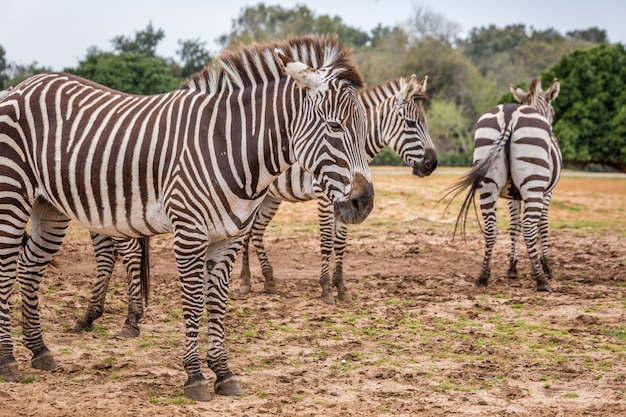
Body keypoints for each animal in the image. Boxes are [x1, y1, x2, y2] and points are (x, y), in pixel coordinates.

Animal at [0, 35, 370, 400]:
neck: (229, 146)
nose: (364, 202)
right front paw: (195, 377)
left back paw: (39, 350)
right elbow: (194, 302)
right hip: (12, 197)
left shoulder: (229, 237)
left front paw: (223, 373)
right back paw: (8, 361)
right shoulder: (189, 232)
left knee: (29, 267)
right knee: (7, 270)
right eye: (334, 127)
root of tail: (22, 86)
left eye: (364, 127)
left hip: (50, 207)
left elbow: (218, 304)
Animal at [444, 78, 560, 290]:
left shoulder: (513, 195)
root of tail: (510, 115)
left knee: (491, 229)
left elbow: (514, 226)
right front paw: (545, 266)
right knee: (530, 228)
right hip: (533, 183)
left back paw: (483, 276)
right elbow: (543, 226)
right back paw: (542, 280)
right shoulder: (547, 192)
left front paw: (512, 268)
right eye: (553, 112)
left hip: (488, 181)